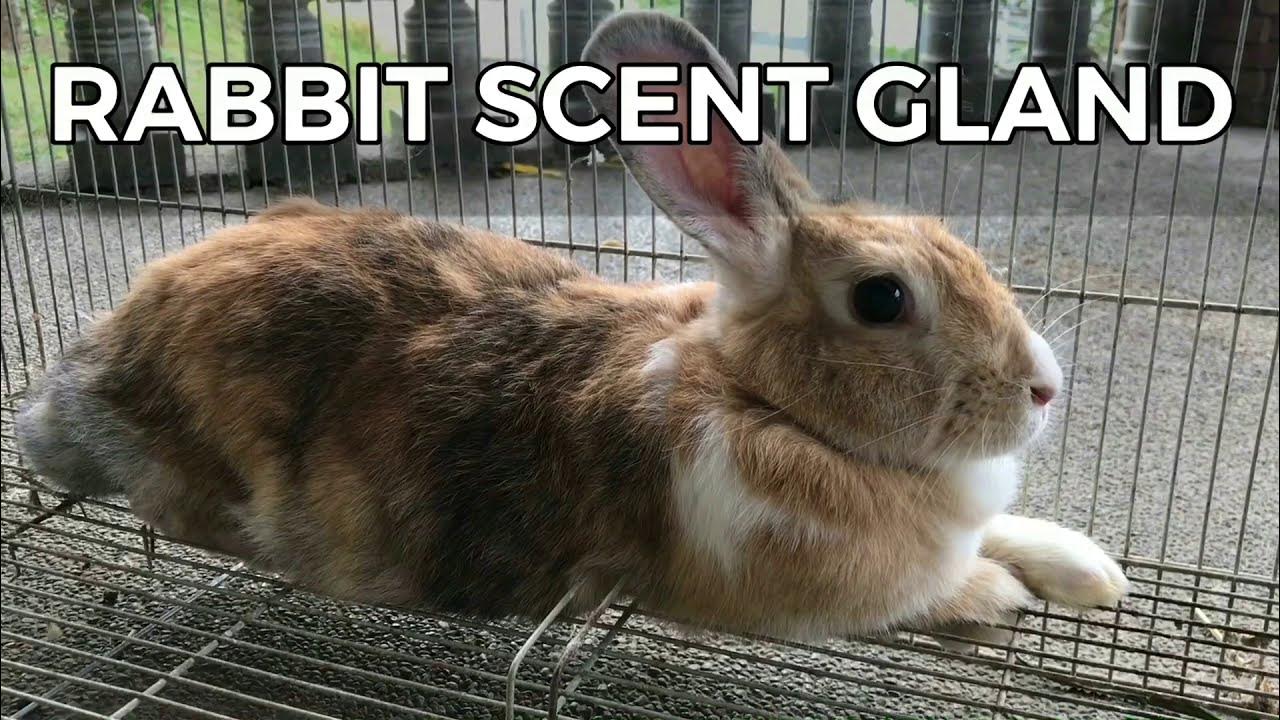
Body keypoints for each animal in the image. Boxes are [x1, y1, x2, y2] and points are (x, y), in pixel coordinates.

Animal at [15, 11, 1127, 640]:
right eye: (882, 299)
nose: (1044, 389)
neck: (757, 397)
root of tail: (91, 365)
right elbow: (935, 592)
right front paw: (998, 596)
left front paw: (1091, 574)